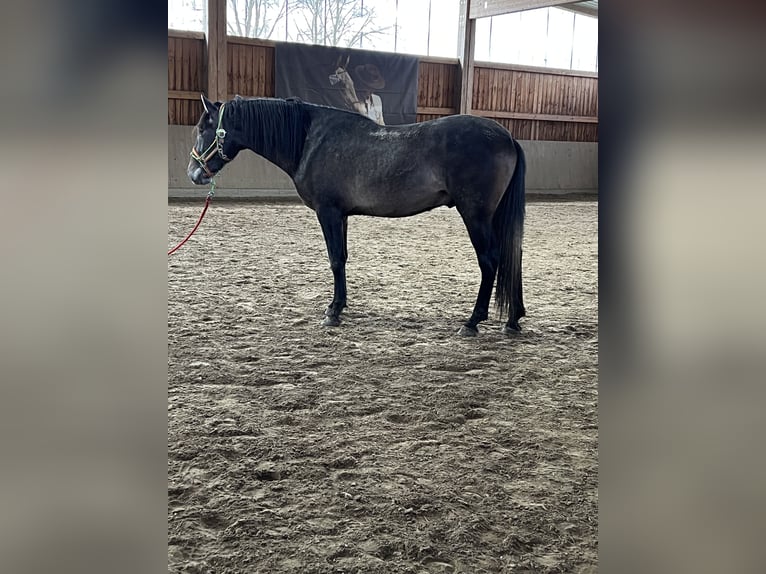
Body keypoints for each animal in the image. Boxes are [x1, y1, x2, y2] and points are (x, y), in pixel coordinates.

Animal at [190, 95, 528, 338]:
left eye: (203, 130)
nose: (194, 173)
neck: (308, 140)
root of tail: (508, 137)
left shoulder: (328, 212)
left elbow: (335, 259)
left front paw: (333, 312)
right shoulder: (341, 215)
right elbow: (343, 258)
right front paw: (340, 305)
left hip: (476, 215)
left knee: (490, 260)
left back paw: (472, 322)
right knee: (512, 254)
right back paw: (513, 320)